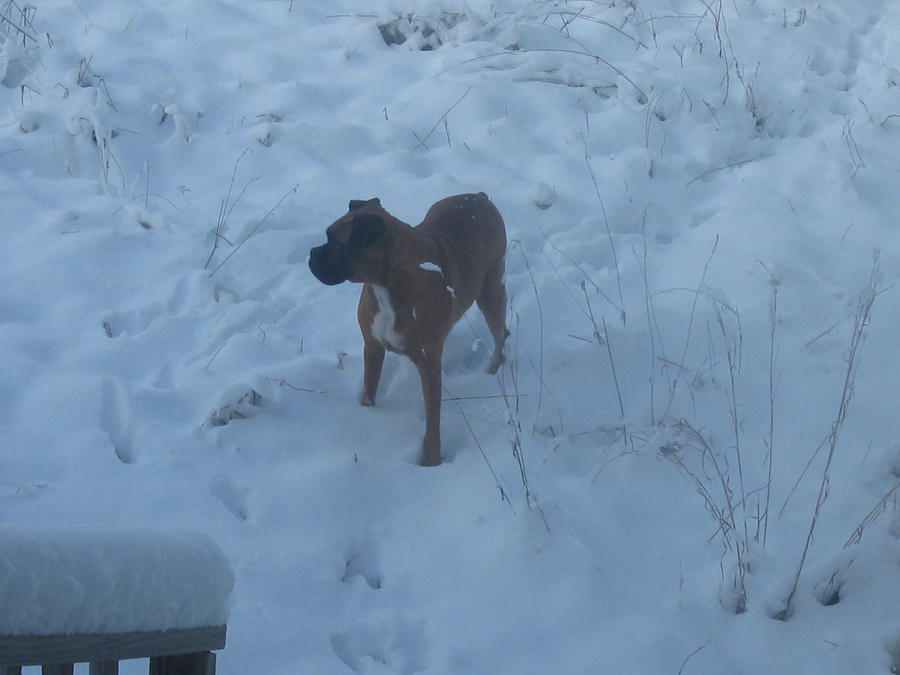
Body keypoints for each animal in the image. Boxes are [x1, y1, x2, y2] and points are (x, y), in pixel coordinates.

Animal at [308, 190, 506, 464]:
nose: (312, 253)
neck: (386, 285)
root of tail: (479, 196)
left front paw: (432, 460)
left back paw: (492, 370)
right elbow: (369, 388)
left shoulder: (429, 367)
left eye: (337, 245)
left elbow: (433, 420)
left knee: (500, 336)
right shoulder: (372, 347)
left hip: (491, 294)